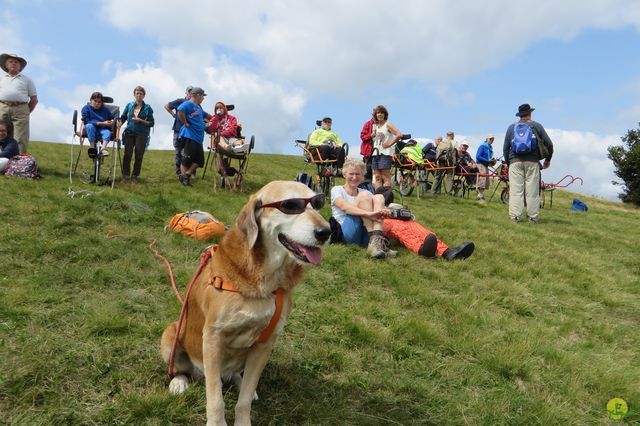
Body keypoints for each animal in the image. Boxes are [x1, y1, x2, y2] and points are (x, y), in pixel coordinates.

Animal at [159, 181, 330, 426]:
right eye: (290, 205)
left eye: (318, 203)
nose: (326, 231)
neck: (264, 280)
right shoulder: (213, 337)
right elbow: (216, 400)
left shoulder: (265, 344)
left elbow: (245, 399)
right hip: (172, 332)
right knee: (180, 369)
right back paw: (179, 382)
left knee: (237, 377)